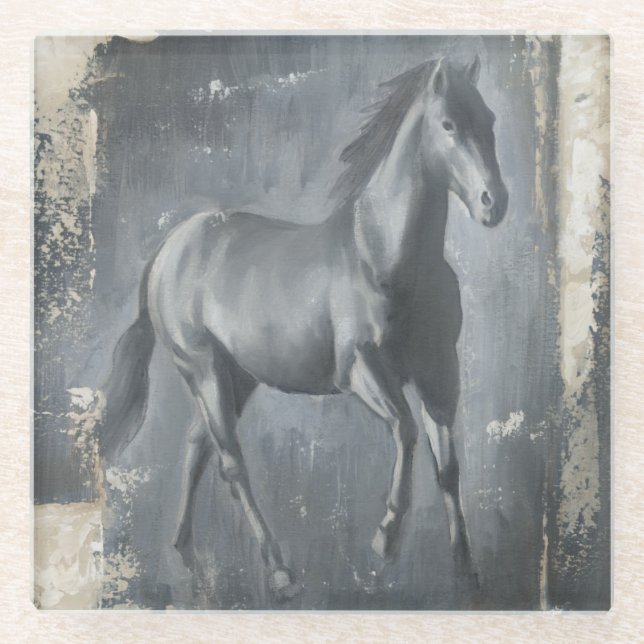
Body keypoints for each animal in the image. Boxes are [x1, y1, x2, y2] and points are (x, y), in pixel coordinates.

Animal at [99, 56, 508, 600]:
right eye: (448, 125)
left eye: (489, 120)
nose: (493, 203)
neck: (386, 257)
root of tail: (169, 249)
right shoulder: (360, 370)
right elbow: (405, 432)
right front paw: (385, 538)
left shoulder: (440, 375)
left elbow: (448, 466)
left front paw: (465, 568)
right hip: (203, 368)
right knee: (231, 461)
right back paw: (279, 571)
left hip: (237, 377)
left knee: (196, 448)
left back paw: (183, 547)